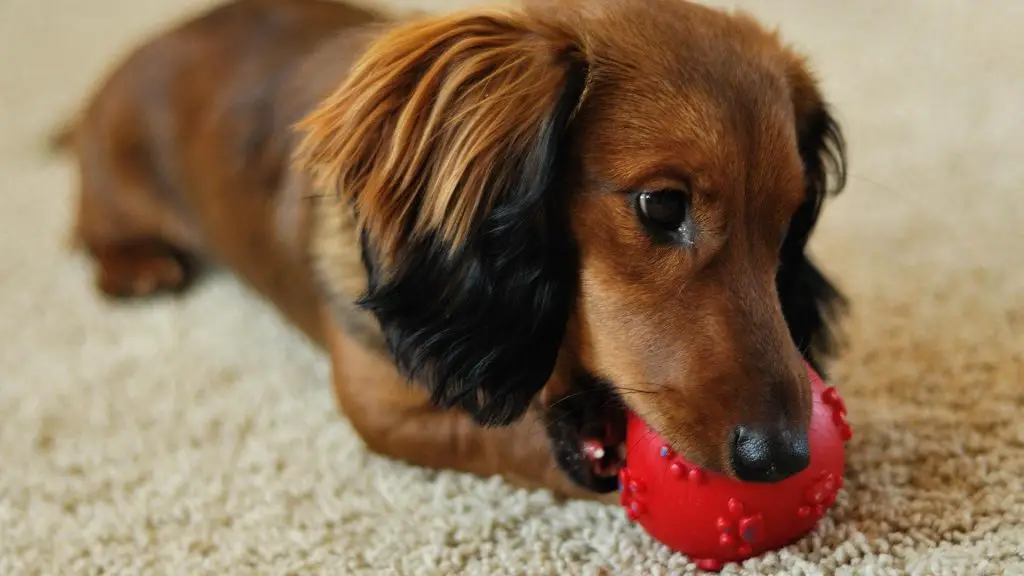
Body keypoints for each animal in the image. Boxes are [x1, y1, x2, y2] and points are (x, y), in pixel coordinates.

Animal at [48, 0, 847, 496]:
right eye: (661, 205)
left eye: (788, 223)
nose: (785, 456)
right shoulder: (382, 404)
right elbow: (503, 433)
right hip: (110, 183)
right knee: (88, 229)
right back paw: (136, 265)